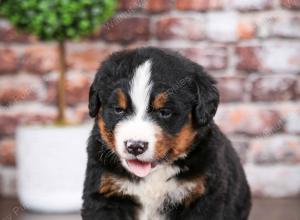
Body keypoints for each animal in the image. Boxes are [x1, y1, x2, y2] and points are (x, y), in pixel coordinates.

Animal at [81, 46, 251, 220]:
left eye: (165, 112)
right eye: (118, 109)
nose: (135, 146)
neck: (152, 176)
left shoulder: (203, 197)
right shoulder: (105, 193)